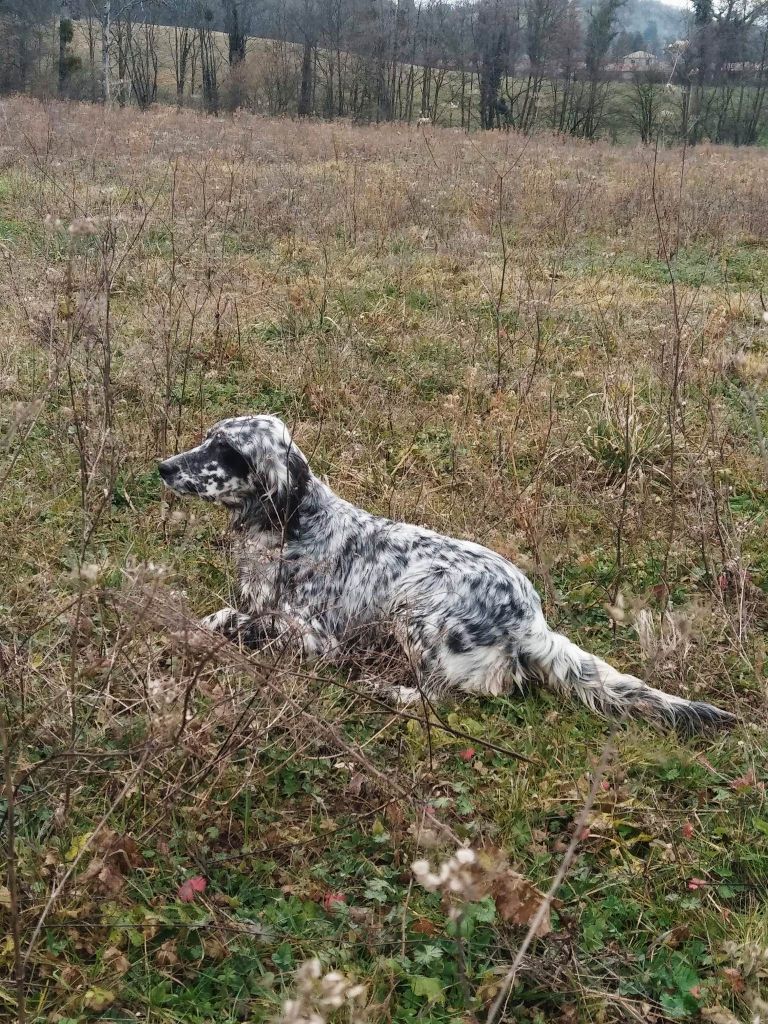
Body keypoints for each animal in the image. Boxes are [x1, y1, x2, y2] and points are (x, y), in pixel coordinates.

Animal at [157, 415, 741, 737]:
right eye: (207, 437)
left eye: (228, 450)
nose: (164, 466)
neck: (294, 521)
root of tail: (532, 621)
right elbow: (224, 613)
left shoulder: (315, 637)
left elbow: (234, 623)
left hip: (415, 606)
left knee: (446, 698)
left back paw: (386, 690)